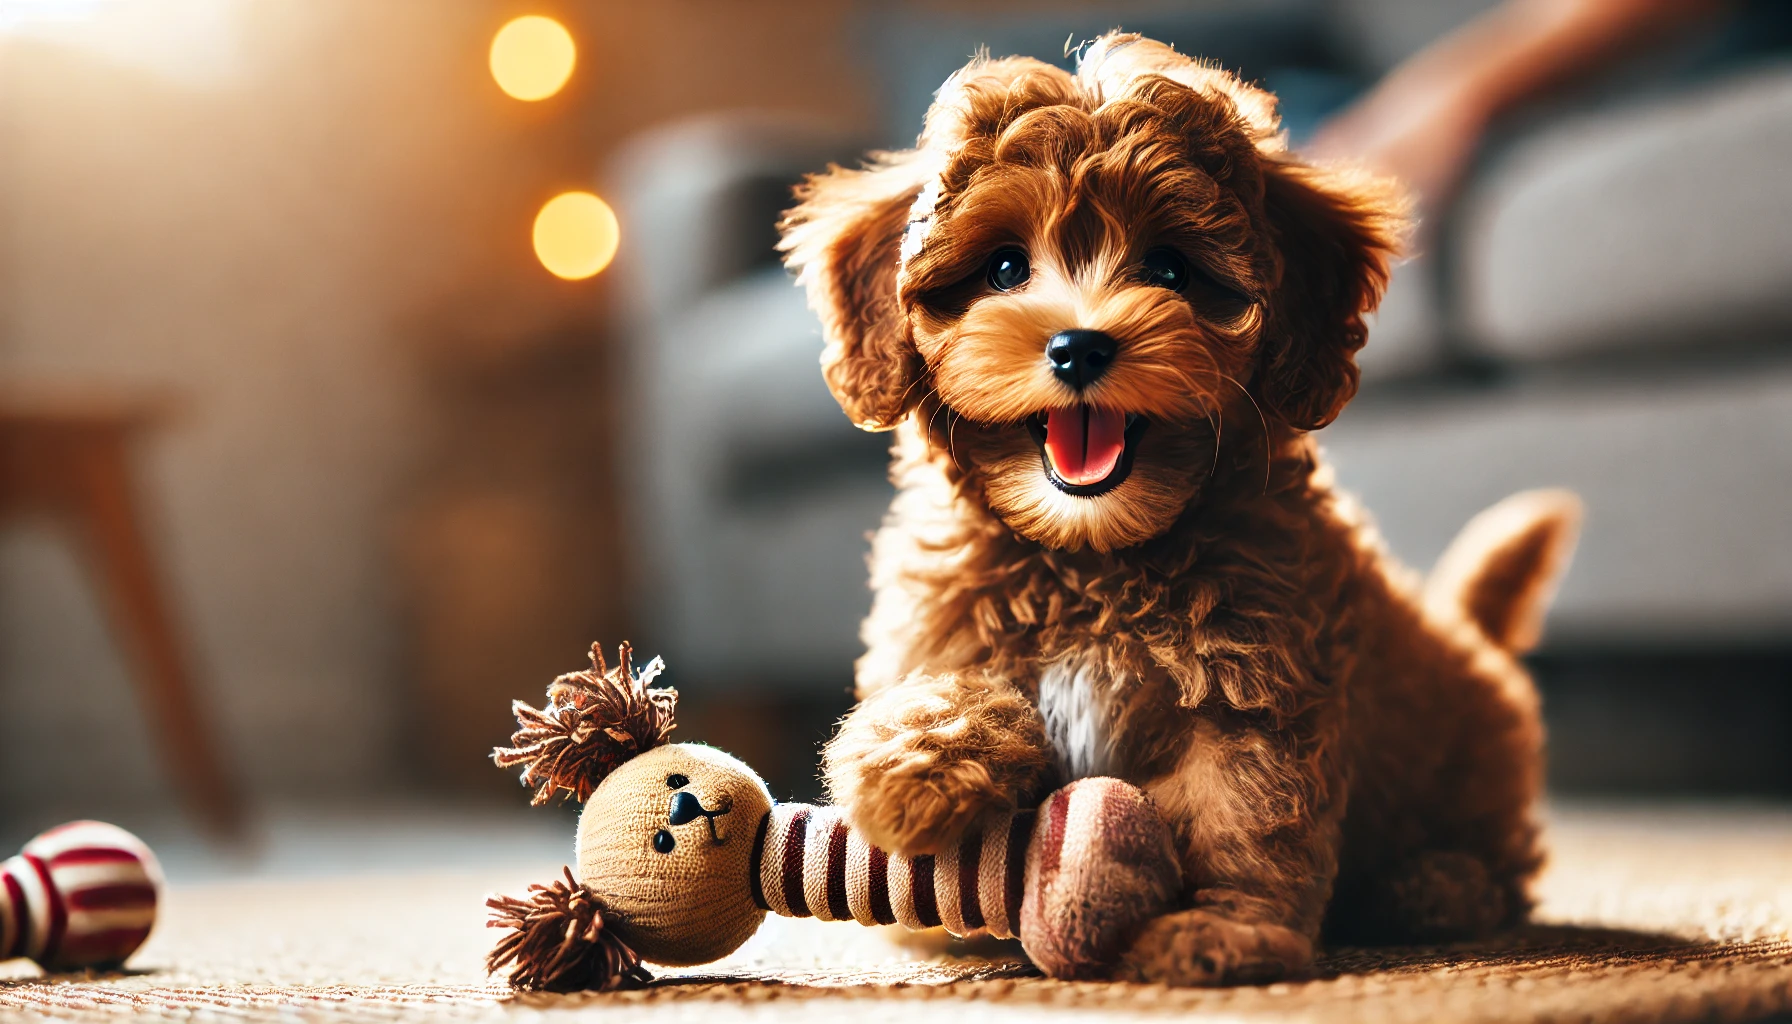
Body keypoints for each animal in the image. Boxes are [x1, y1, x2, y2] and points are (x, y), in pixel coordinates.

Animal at [777, 34, 1576, 982]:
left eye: (1170, 268)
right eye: (1003, 267)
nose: (1079, 346)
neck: (1092, 554)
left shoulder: (1256, 688)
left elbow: (1244, 812)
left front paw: (1220, 930)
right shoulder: (944, 612)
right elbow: (942, 678)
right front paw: (915, 767)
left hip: (1471, 773)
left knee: (1502, 863)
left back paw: (1435, 886)